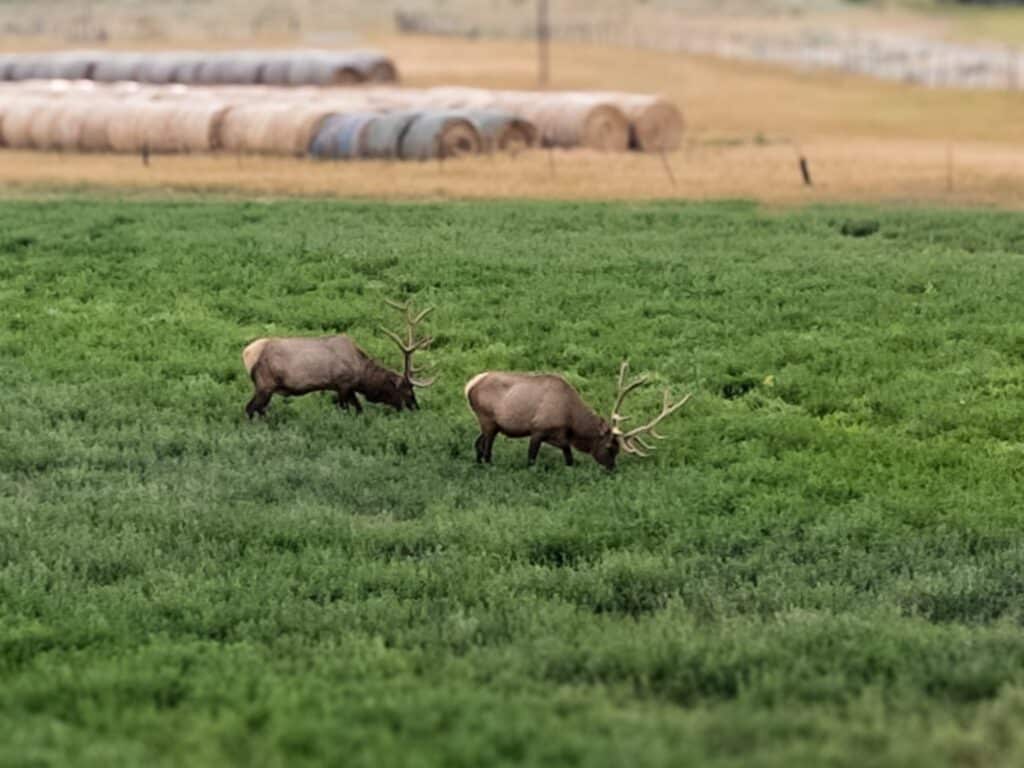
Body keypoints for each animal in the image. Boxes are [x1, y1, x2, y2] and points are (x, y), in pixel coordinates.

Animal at [241, 299, 435, 419]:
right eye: (408, 391)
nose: (416, 408)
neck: (361, 373)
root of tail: (247, 354)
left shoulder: (345, 388)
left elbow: (359, 409)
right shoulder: (343, 384)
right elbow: (349, 410)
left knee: (257, 410)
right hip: (265, 384)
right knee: (250, 409)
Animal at [464, 361, 690, 470]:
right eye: (610, 446)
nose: (612, 469)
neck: (571, 419)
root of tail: (469, 385)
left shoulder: (562, 437)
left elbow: (569, 459)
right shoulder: (537, 430)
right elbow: (531, 460)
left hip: (488, 424)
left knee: (478, 444)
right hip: (488, 420)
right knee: (486, 450)